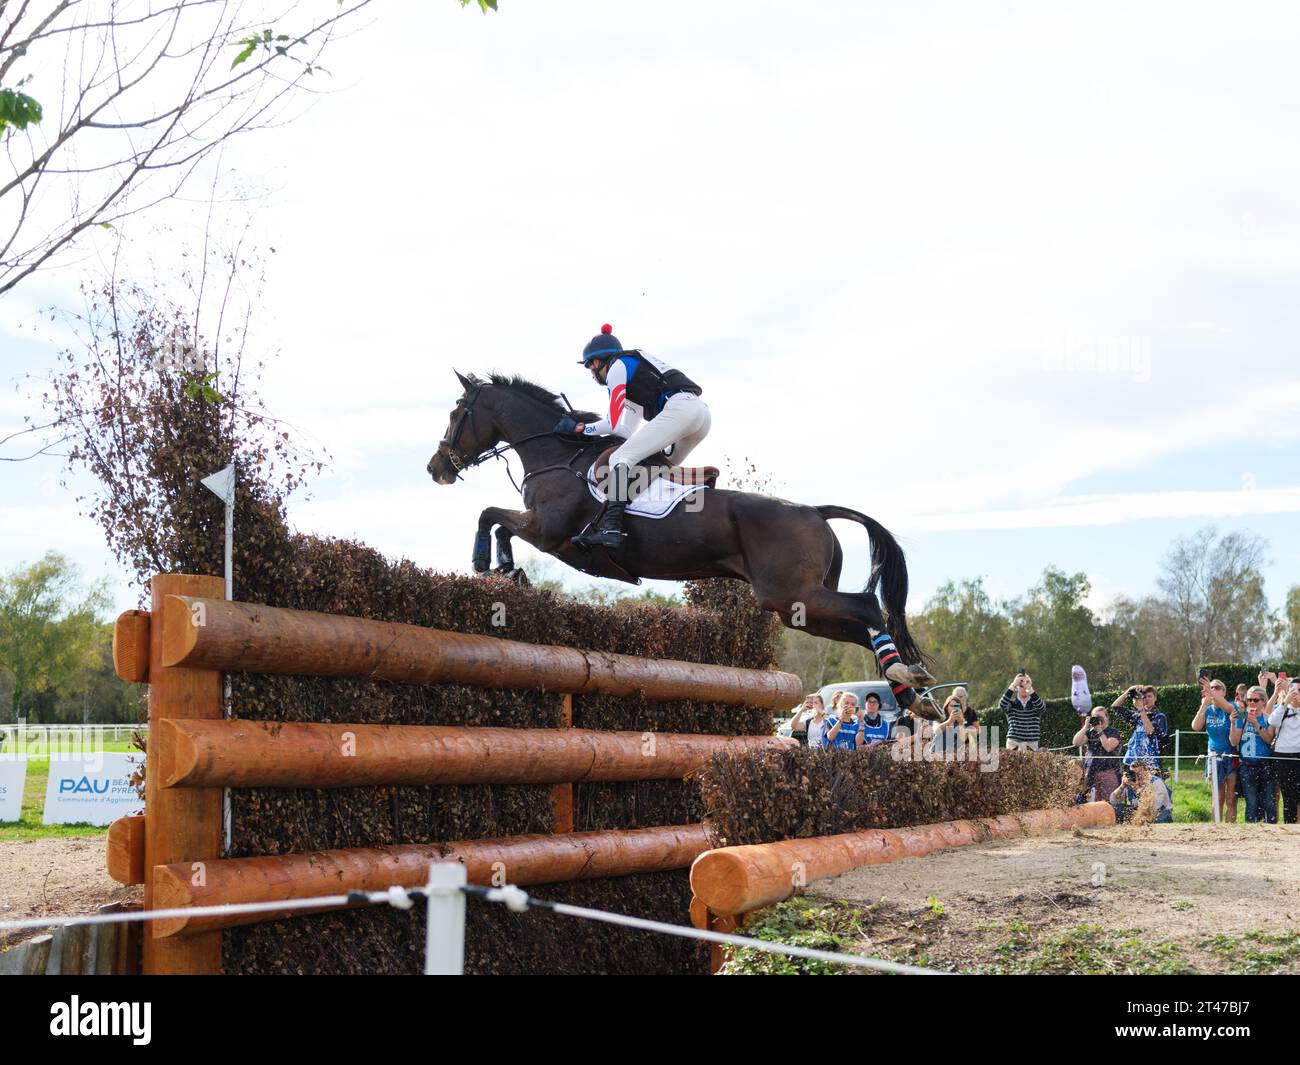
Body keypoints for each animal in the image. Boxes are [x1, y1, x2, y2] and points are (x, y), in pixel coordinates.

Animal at [431, 371, 941, 712]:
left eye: (456, 412)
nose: (435, 468)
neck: (558, 456)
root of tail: (814, 511)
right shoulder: (546, 533)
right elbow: (499, 523)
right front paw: (507, 570)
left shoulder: (549, 531)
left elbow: (492, 516)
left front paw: (486, 562)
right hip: (798, 609)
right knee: (858, 626)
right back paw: (911, 693)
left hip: (790, 594)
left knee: (867, 606)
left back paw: (905, 678)